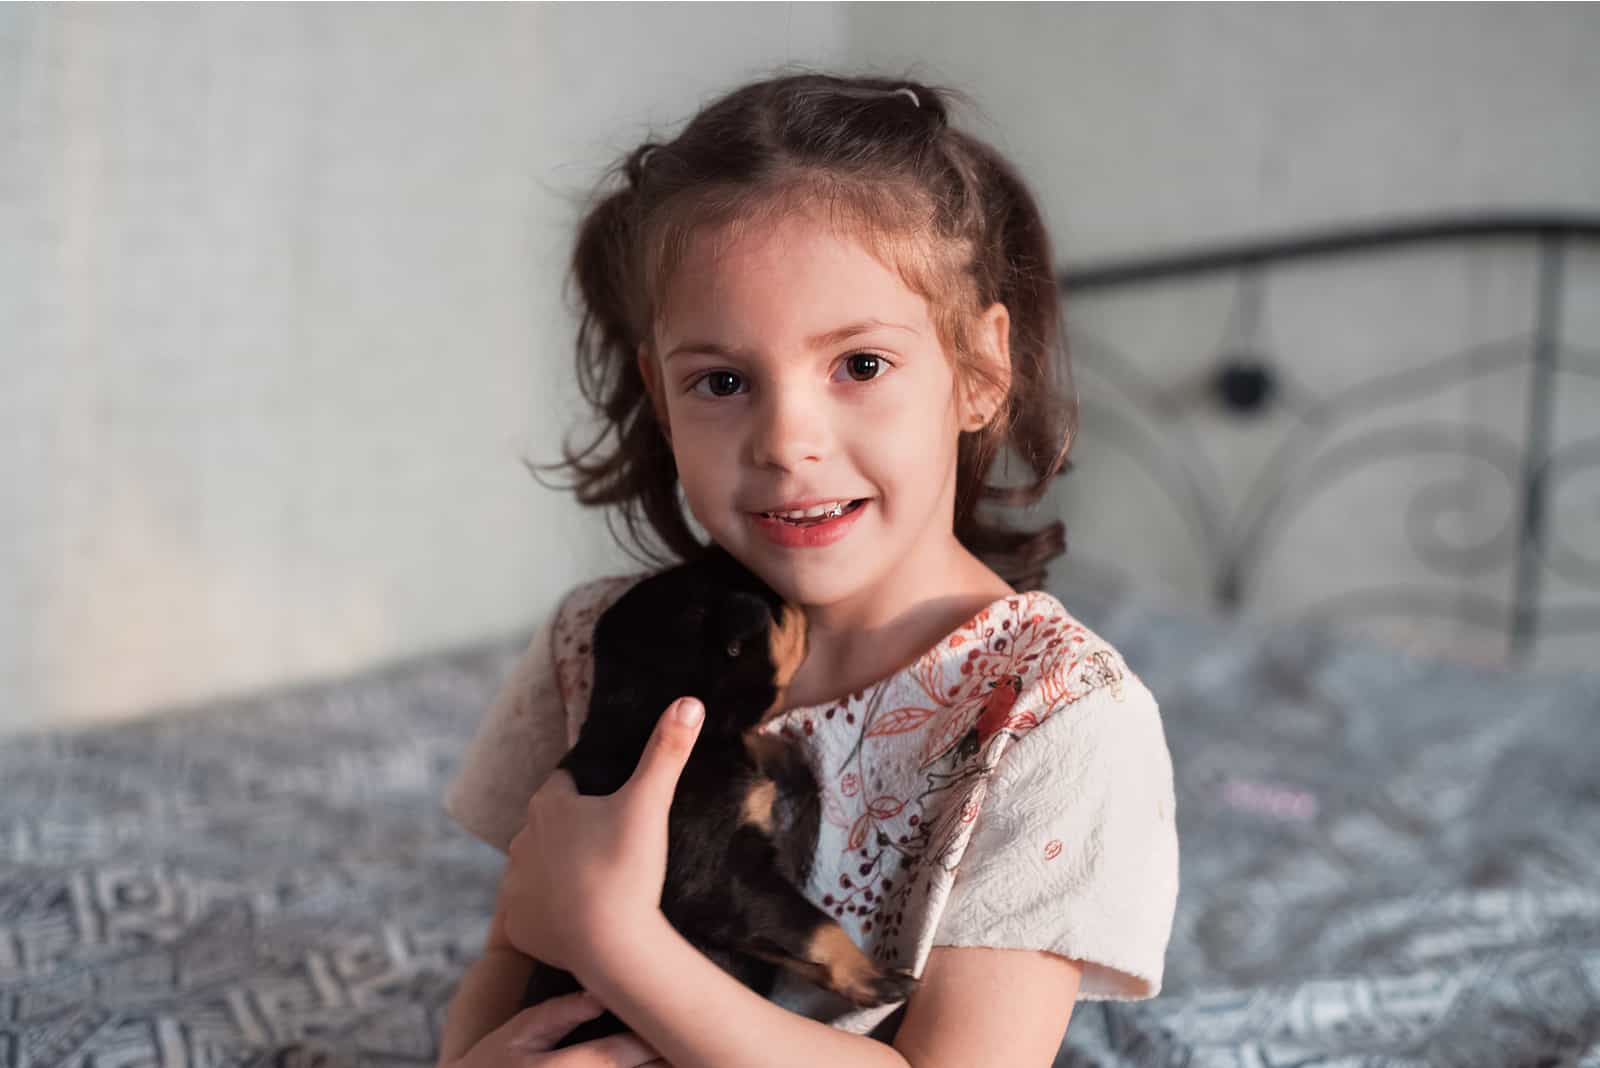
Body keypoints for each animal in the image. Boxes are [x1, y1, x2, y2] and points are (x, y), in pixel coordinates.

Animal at [521, 546, 915, 1048]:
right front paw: (875, 977)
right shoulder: (722, 874)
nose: (796, 597)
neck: (647, 708)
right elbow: (809, 924)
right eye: (772, 601)